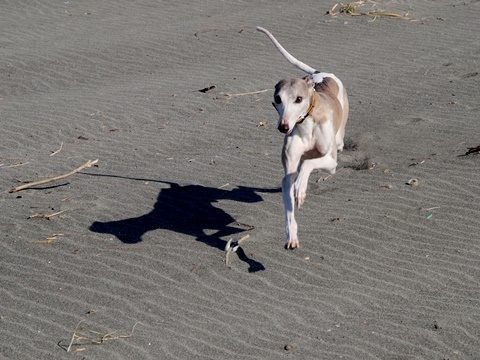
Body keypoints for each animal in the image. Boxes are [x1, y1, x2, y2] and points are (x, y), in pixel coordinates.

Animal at [258, 26, 348, 249]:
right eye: (277, 99)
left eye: (298, 99)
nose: (283, 127)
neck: (307, 123)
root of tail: (318, 74)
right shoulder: (288, 172)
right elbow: (289, 206)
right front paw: (291, 235)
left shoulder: (332, 163)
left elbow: (308, 167)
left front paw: (300, 190)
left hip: (338, 141)